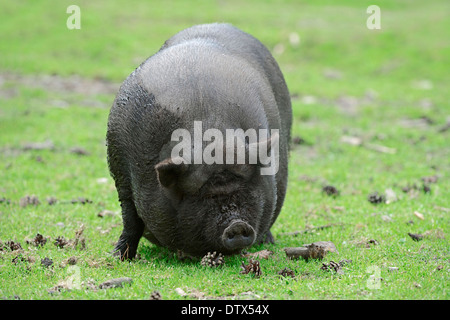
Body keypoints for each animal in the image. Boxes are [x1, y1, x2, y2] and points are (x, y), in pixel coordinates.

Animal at [107, 23, 294, 258]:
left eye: (245, 189)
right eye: (202, 196)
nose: (237, 225)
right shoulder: (122, 176)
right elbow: (130, 219)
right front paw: (119, 258)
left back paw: (267, 242)